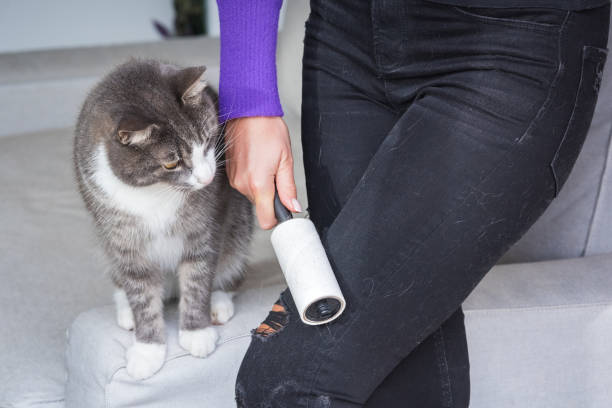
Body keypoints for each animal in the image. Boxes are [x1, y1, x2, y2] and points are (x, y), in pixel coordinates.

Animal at [73, 57, 253, 380]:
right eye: (171, 163)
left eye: (208, 139)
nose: (208, 178)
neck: (155, 193)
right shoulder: (122, 238)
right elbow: (140, 290)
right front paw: (147, 350)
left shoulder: (202, 227)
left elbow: (198, 276)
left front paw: (196, 333)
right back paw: (125, 310)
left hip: (240, 220)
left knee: (231, 262)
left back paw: (219, 302)